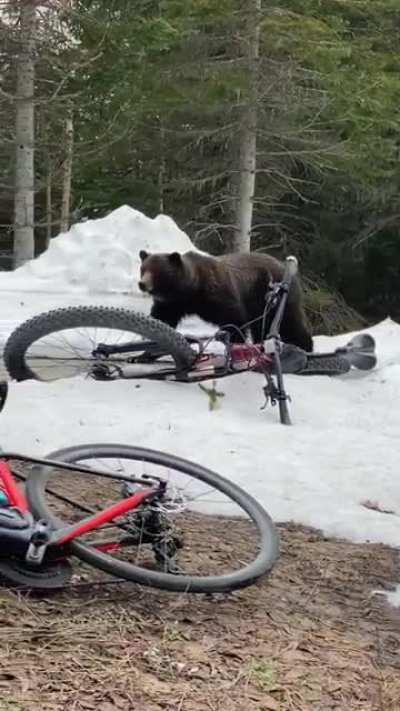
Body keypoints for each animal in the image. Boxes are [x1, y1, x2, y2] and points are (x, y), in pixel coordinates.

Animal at [138, 249, 313, 352]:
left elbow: (234, 319)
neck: (191, 289)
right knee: (261, 325)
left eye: (157, 271)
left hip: (273, 295)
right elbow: (163, 318)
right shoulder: (173, 303)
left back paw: (305, 346)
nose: (142, 284)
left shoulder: (219, 294)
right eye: (143, 269)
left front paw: (237, 342)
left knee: (290, 322)